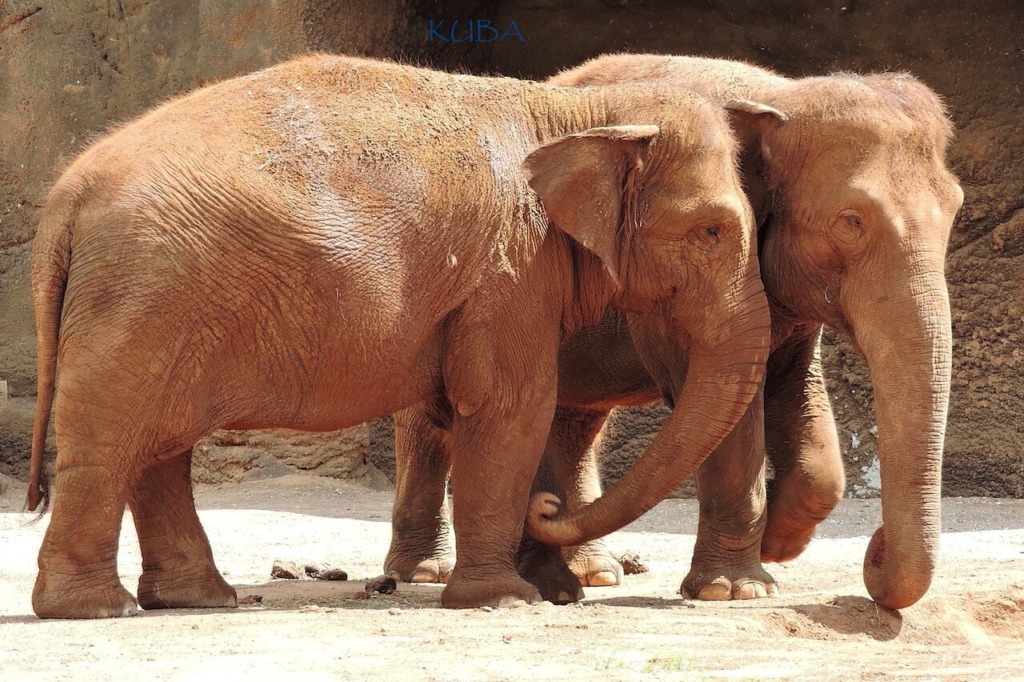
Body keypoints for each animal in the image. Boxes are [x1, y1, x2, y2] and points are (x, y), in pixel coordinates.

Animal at [25, 53, 774, 614]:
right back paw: (100, 609)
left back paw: (195, 599)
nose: (550, 505)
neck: (578, 113)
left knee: (158, 446)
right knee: (114, 441)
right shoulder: (510, 271)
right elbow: (511, 405)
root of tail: (67, 198)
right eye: (712, 231)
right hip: (141, 299)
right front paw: (505, 601)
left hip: (159, 306)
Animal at [382, 51, 958, 606]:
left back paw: (591, 572)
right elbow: (729, 410)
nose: (875, 549)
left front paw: (776, 540)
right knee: (433, 421)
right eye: (851, 221)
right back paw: (429, 571)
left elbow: (797, 397)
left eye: (957, 209)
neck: (779, 95)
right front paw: (735, 589)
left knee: (572, 421)